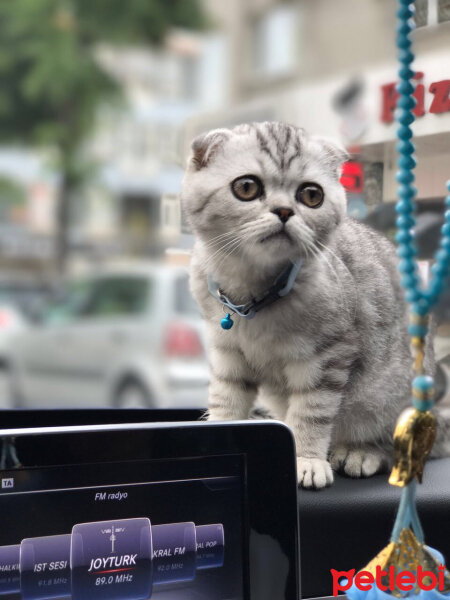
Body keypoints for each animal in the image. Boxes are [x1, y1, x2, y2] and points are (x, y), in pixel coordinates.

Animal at [180, 120, 450, 488]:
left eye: (311, 195)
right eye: (247, 187)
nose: (284, 211)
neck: (252, 288)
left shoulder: (327, 357)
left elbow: (310, 414)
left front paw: (306, 459)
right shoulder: (227, 352)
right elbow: (226, 397)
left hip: (389, 396)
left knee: (406, 444)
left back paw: (361, 452)